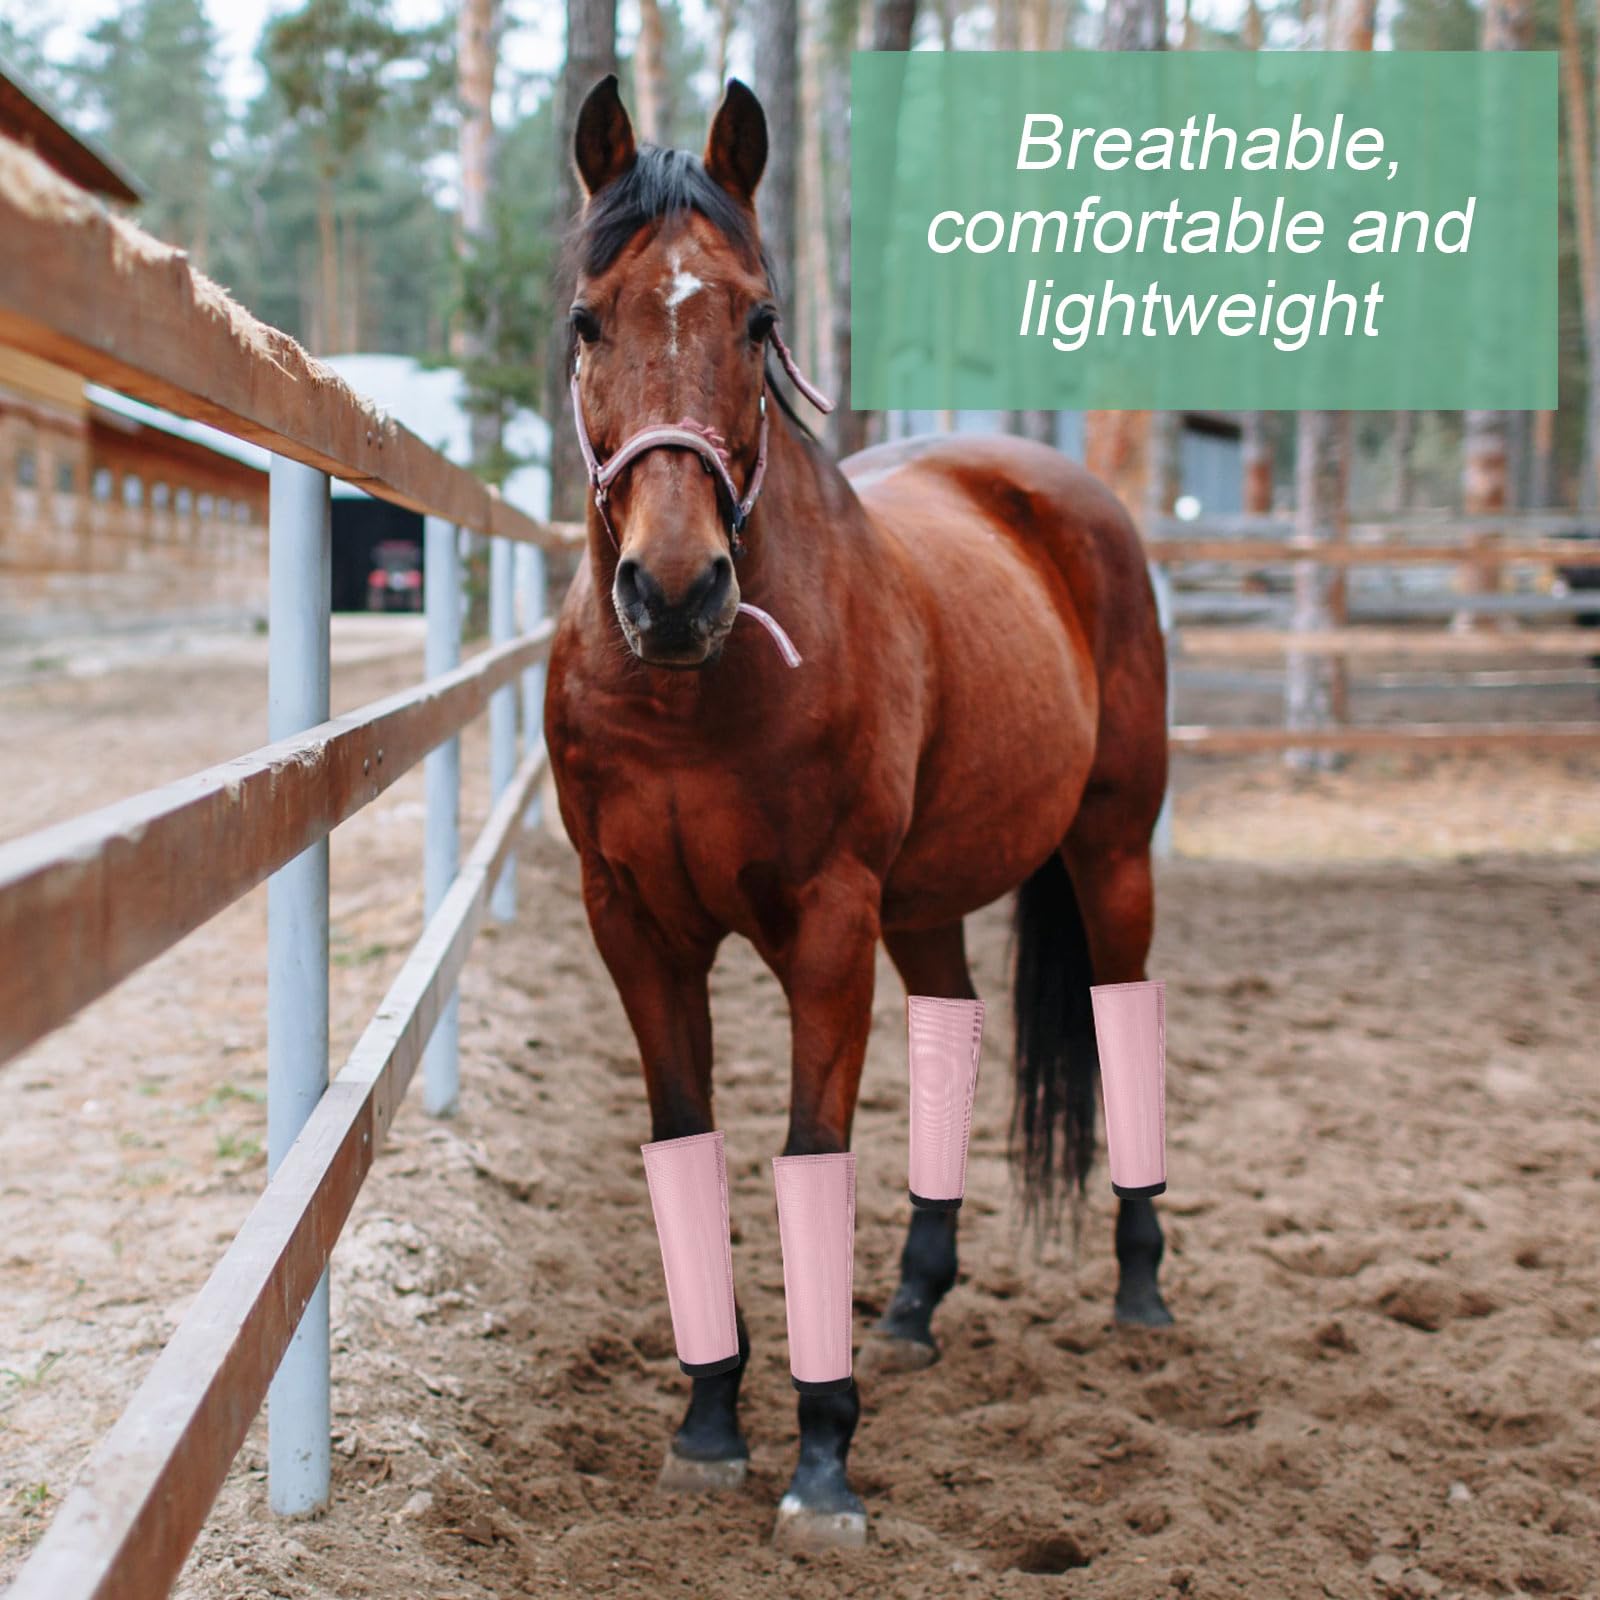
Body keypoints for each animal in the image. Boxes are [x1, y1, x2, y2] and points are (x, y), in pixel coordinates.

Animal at [544, 75, 1172, 1548]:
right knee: (952, 1023)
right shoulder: (634, 927)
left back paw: (1140, 1284)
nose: (673, 590)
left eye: (757, 318)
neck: (691, 693)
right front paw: (709, 1422)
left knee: (1124, 1012)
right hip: (926, 900)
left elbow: (808, 1152)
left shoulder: (826, 923)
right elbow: (689, 1144)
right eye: (588, 319)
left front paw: (821, 1457)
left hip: (1112, 849)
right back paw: (913, 1303)